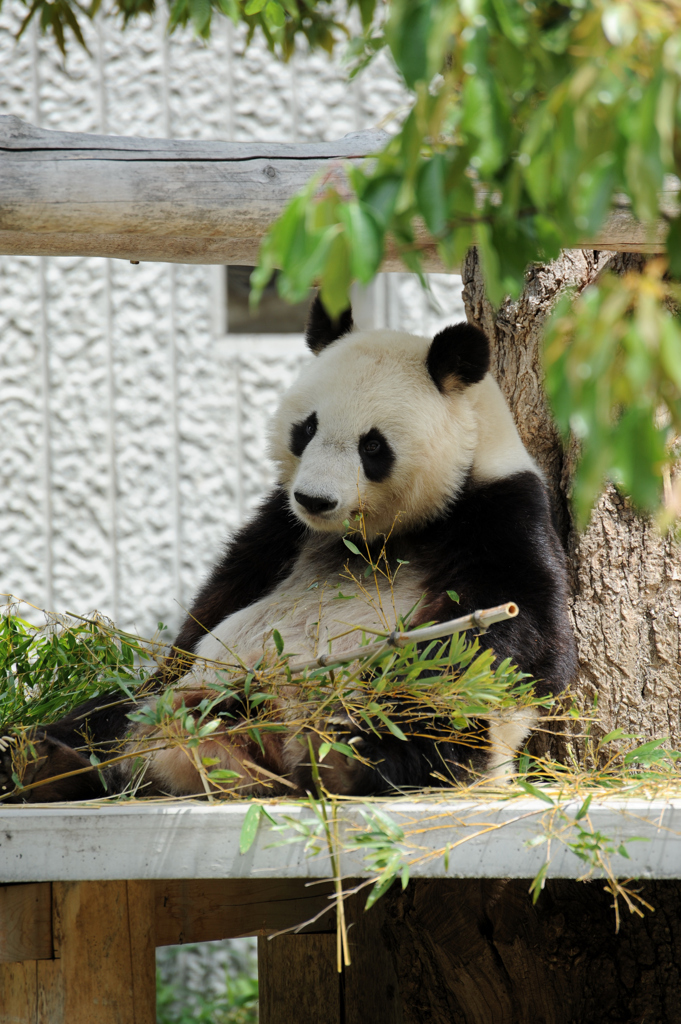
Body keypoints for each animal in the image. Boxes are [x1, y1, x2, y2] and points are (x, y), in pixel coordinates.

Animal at [0, 299, 573, 802]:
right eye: (307, 428)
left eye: (373, 446)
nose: (315, 499)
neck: (376, 538)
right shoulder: (282, 528)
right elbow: (211, 609)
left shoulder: (498, 510)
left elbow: (505, 636)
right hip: (179, 697)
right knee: (108, 716)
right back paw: (40, 759)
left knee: (438, 733)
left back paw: (352, 757)